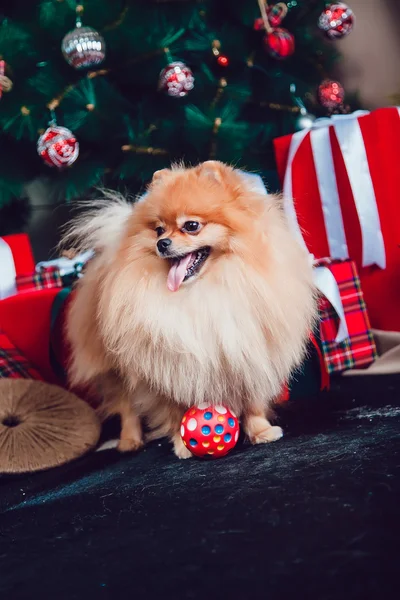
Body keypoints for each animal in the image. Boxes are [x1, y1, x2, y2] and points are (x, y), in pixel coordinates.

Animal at [65, 162, 316, 458]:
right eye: (159, 230)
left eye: (191, 226)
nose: (162, 243)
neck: (201, 292)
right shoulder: (167, 367)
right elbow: (174, 411)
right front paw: (183, 445)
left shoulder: (248, 352)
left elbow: (253, 399)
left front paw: (262, 432)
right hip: (116, 367)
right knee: (127, 406)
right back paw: (130, 441)